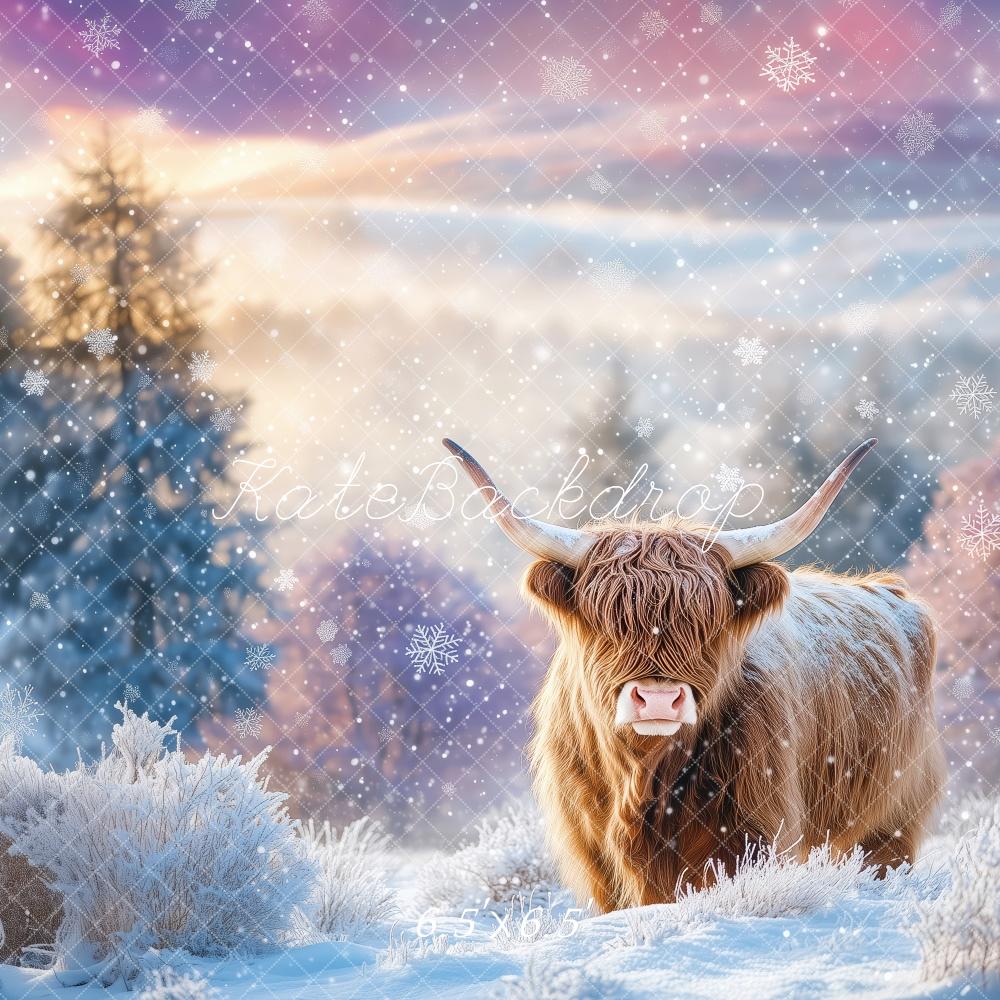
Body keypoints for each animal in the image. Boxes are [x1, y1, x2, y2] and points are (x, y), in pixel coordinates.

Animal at [442, 436, 946, 913]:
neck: (642, 778)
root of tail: (890, 591)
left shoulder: (752, 836)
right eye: (608, 619)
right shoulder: (595, 858)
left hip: (891, 825)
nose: (658, 700)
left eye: (707, 622)